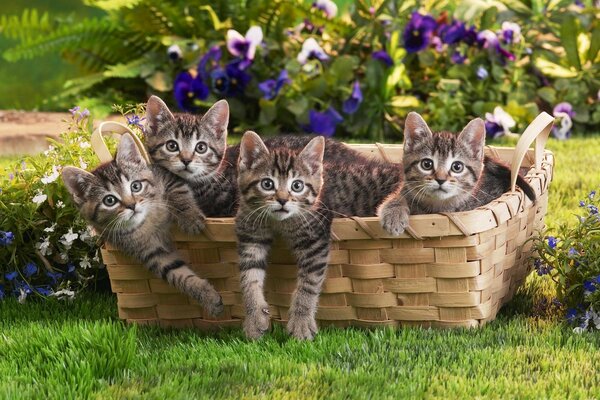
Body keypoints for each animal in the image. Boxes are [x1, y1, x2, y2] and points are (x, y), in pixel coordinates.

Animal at [61, 134, 223, 316]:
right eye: (109, 200)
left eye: (136, 186)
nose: (132, 205)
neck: (148, 222)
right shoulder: (149, 252)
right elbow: (175, 272)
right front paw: (207, 296)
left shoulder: (166, 175)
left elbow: (178, 191)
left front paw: (191, 218)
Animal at [234, 132, 408, 340]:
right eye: (267, 184)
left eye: (297, 185)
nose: (283, 200)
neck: (280, 222)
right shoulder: (250, 235)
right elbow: (248, 277)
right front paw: (254, 318)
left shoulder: (315, 240)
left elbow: (309, 283)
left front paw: (301, 322)